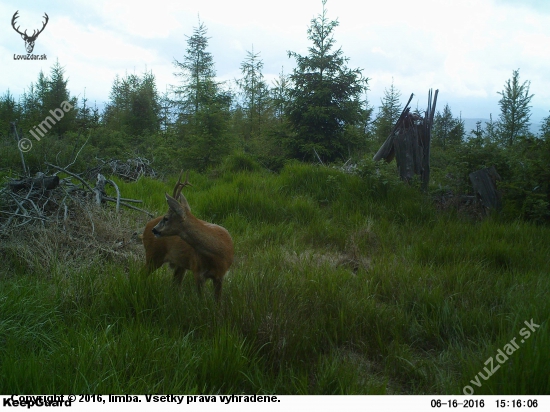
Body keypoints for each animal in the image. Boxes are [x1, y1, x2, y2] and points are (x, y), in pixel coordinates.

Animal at [150, 169, 234, 300]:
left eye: (166, 218)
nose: (154, 230)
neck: (217, 252)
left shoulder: (220, 276)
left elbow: (217, 302)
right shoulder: (198, 272)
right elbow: (201, 300)